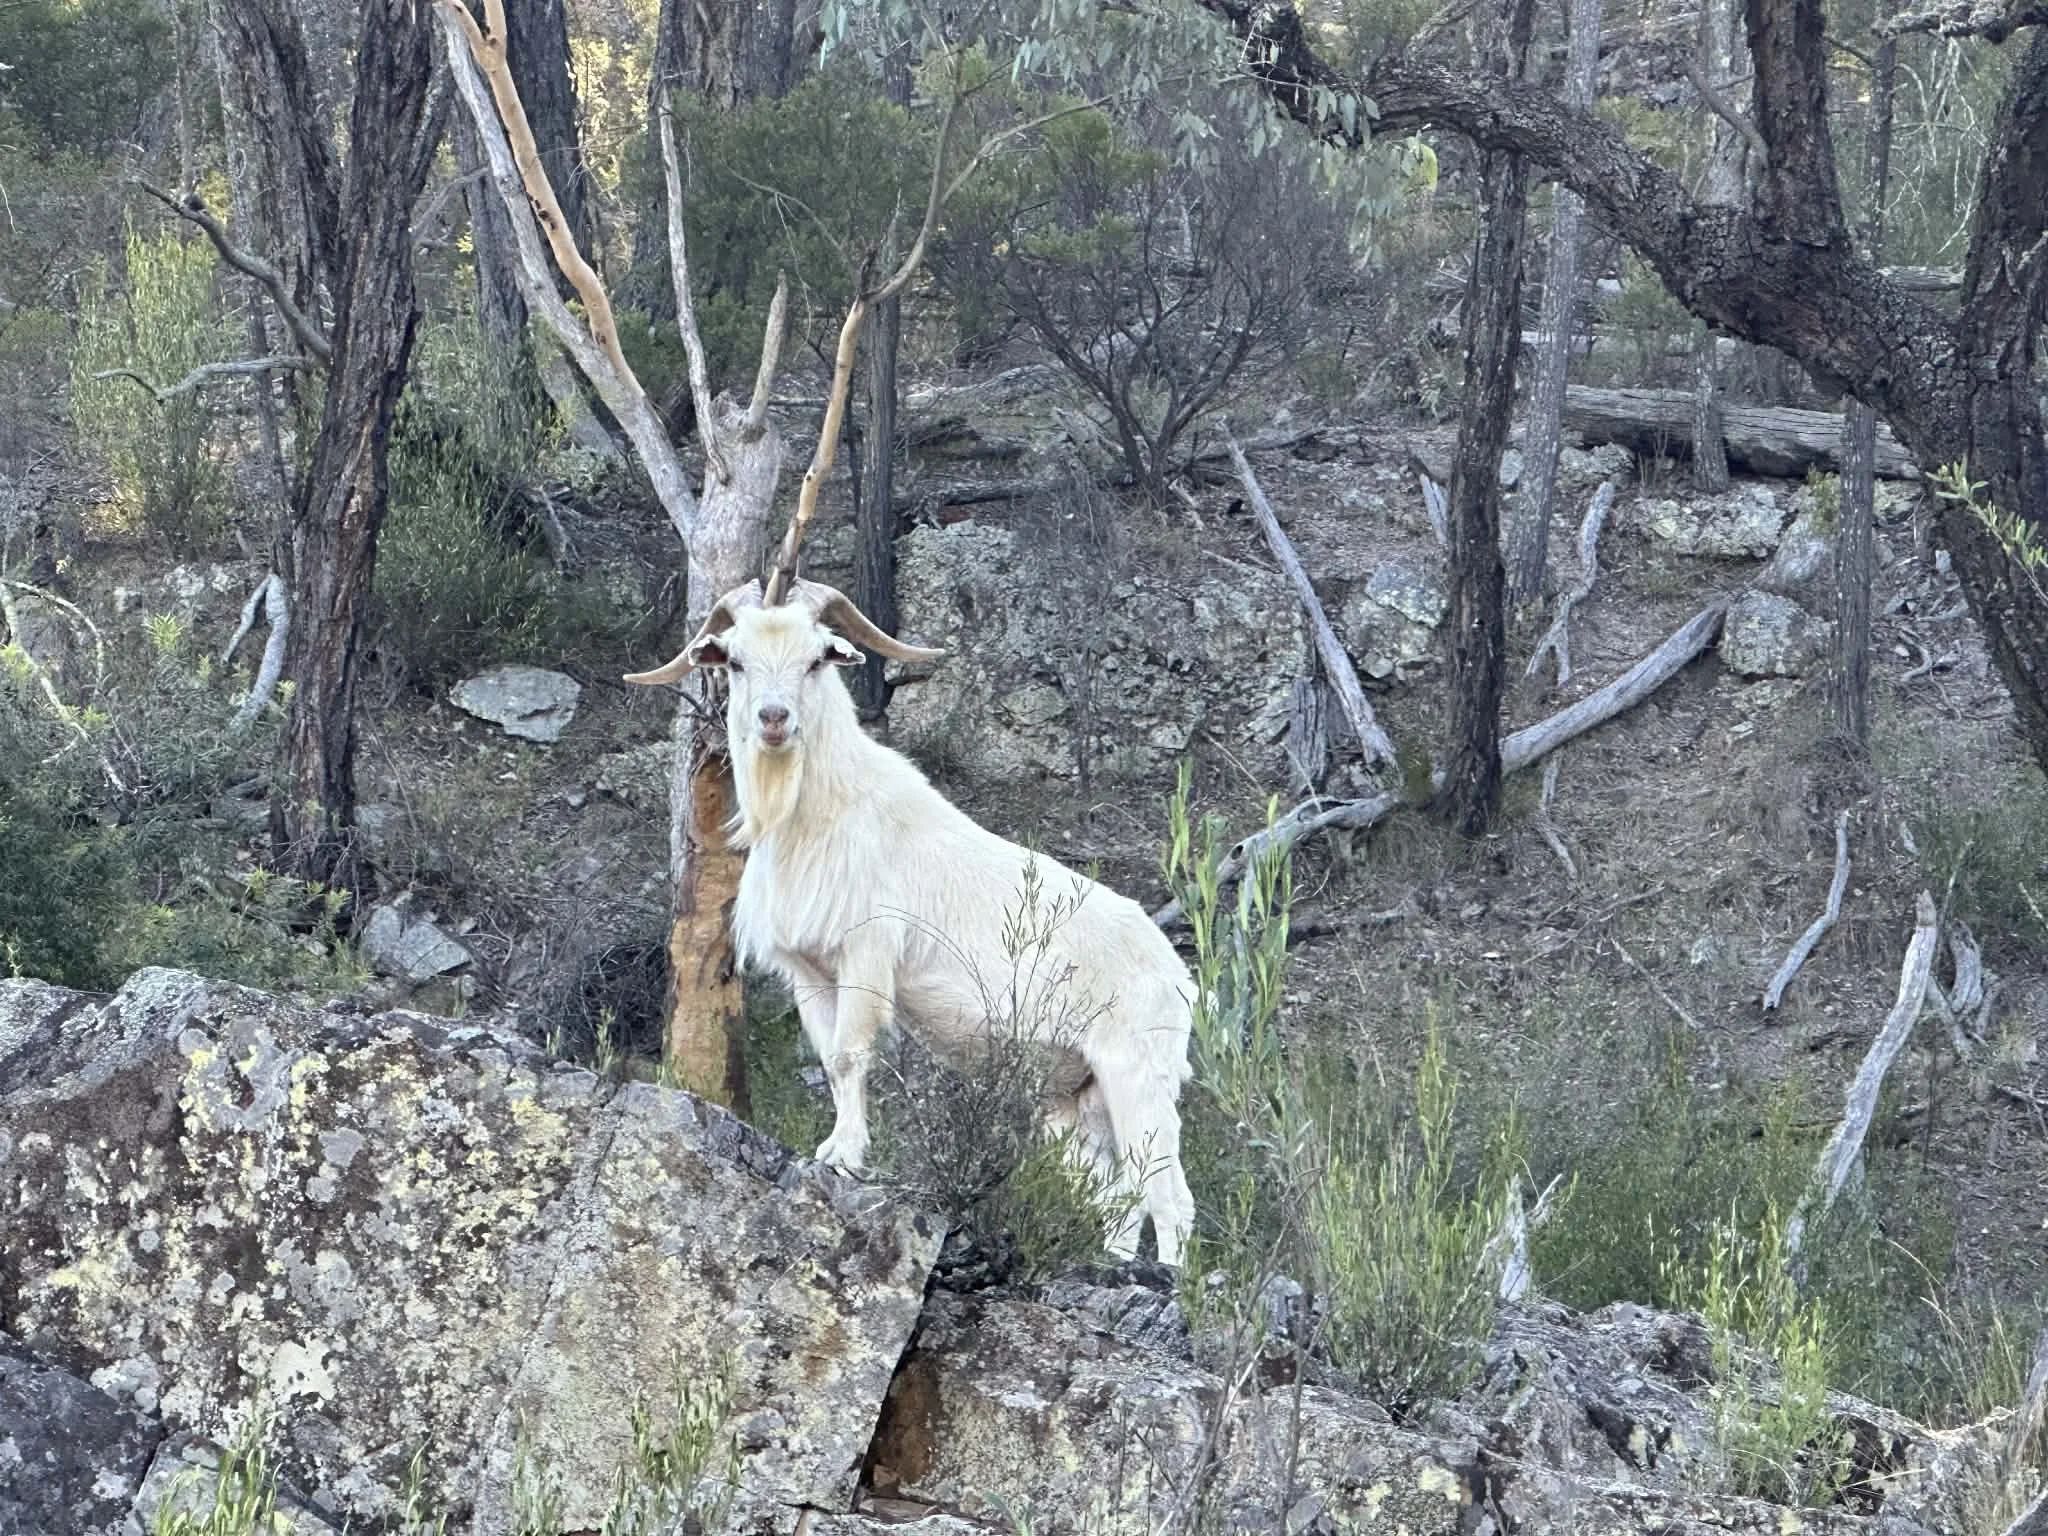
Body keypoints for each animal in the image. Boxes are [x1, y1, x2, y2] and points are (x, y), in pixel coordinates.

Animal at [624, 578, 1197, 1265]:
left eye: (817, 658)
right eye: (735, 661)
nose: (774, 719)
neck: (821, 814)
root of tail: (1178, 977)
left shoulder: (867, 952)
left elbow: (851, 1055)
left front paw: (844, 1157)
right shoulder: (811, 972)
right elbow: (831, 1059)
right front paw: (838, 1149)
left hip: (1137, 1075)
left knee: (1168, 1197)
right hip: (1078, 1098)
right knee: (1119, 1199)